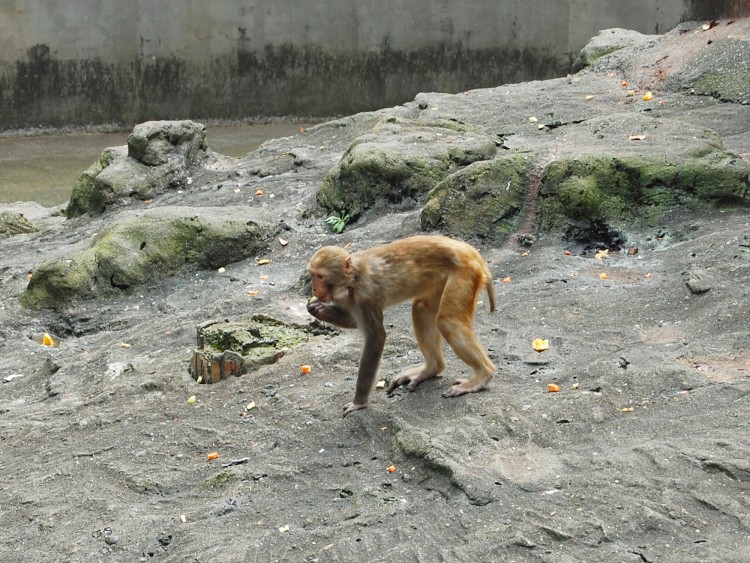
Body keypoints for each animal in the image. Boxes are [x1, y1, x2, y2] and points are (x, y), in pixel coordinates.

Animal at [308, 235, 496, 418]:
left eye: (320, 276)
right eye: (312, 275)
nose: (314, 289)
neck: (352, 279)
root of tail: (471, 251)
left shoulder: (366, 295)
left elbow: (376, 337)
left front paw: (359, 402)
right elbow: (354, 321)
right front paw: (318, 309)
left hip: (464, 272)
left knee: (447, 321)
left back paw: (483, 375)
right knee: (421, 309)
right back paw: (430, 369)